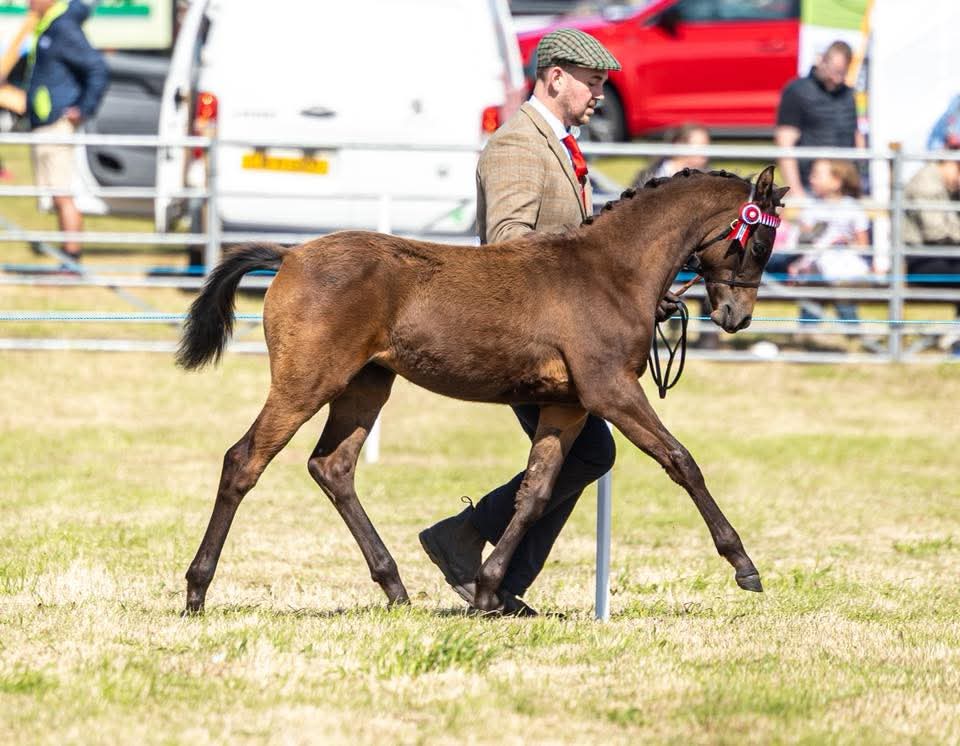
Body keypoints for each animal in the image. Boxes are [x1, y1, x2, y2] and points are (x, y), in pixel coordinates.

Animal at [176, 165, 788, 615]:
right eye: (760, 242)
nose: (736, 317)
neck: (610, 272)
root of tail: (292, 254)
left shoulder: (566, 405)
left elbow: (537, 492)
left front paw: (489, 590)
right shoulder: (611, 391)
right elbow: (681, 461)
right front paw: (744, 565)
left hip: (365, 386)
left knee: (333, 467)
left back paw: (396, 588)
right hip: (306, 381)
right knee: (244, 461)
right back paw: (197, 592)